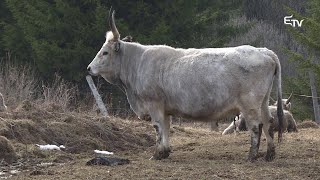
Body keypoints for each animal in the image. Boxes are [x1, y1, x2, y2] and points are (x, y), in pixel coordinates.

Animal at [86, 9, 284, 162]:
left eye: (105, 52)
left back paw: (251, 156)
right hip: (264, 101)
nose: (89, 68)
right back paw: (269, 155)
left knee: (256, 126)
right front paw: (165, 152)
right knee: (268, 122)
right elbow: (166, 127)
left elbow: (158, 127)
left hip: (249, 104)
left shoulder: (154, 104)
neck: (137, 63)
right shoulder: (165, 108)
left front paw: (157, 154)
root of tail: (263, 51)